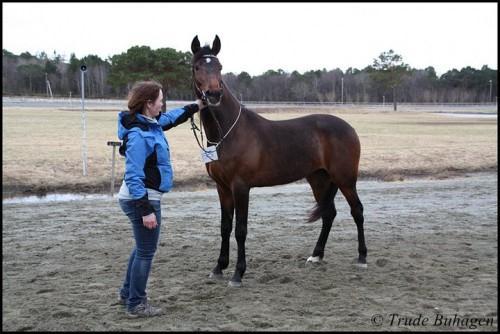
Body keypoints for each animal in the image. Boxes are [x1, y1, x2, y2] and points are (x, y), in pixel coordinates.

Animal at [189, 36, 366, 288]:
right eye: (197, 67)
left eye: (220, 66)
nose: (213, 94)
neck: (229, 132)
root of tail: (349, 128)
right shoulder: (222, 188)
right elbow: (225, 227)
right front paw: (218, 267)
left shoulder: (241, 187)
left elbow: (240, 230)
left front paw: (238, 274)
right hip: (319, 179)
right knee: (329, 214)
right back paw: (316, 255)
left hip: (345, 178)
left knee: (357, 210)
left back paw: (362, 257)